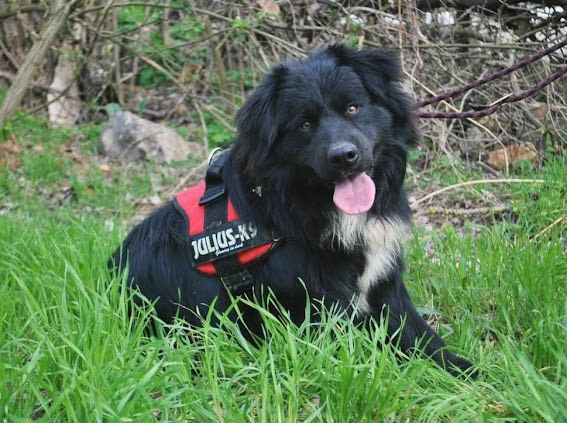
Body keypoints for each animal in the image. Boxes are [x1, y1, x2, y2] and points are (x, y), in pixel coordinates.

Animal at [111, 45, 474, 378]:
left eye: (352, 108)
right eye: (305, 124)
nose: (343, 157)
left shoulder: (385, 286)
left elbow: (421, 336)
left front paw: (468, 374)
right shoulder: (316, 310)